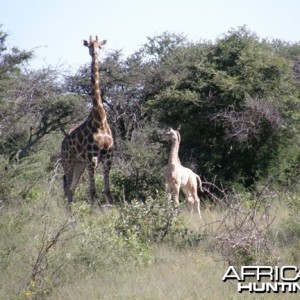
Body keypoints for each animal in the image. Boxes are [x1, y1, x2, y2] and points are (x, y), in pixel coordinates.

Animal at [60, 35, 113, 206]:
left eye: (100, 46)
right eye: (89, 45)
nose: (94, 53)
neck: (100, 118)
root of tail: (62, 143)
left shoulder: (108, 156)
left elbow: (107, 190)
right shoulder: (92, 157)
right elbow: (93, 191)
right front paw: (93, 211)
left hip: (79, 164)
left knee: (71, 189)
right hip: (68, 160)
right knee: (66, 187)